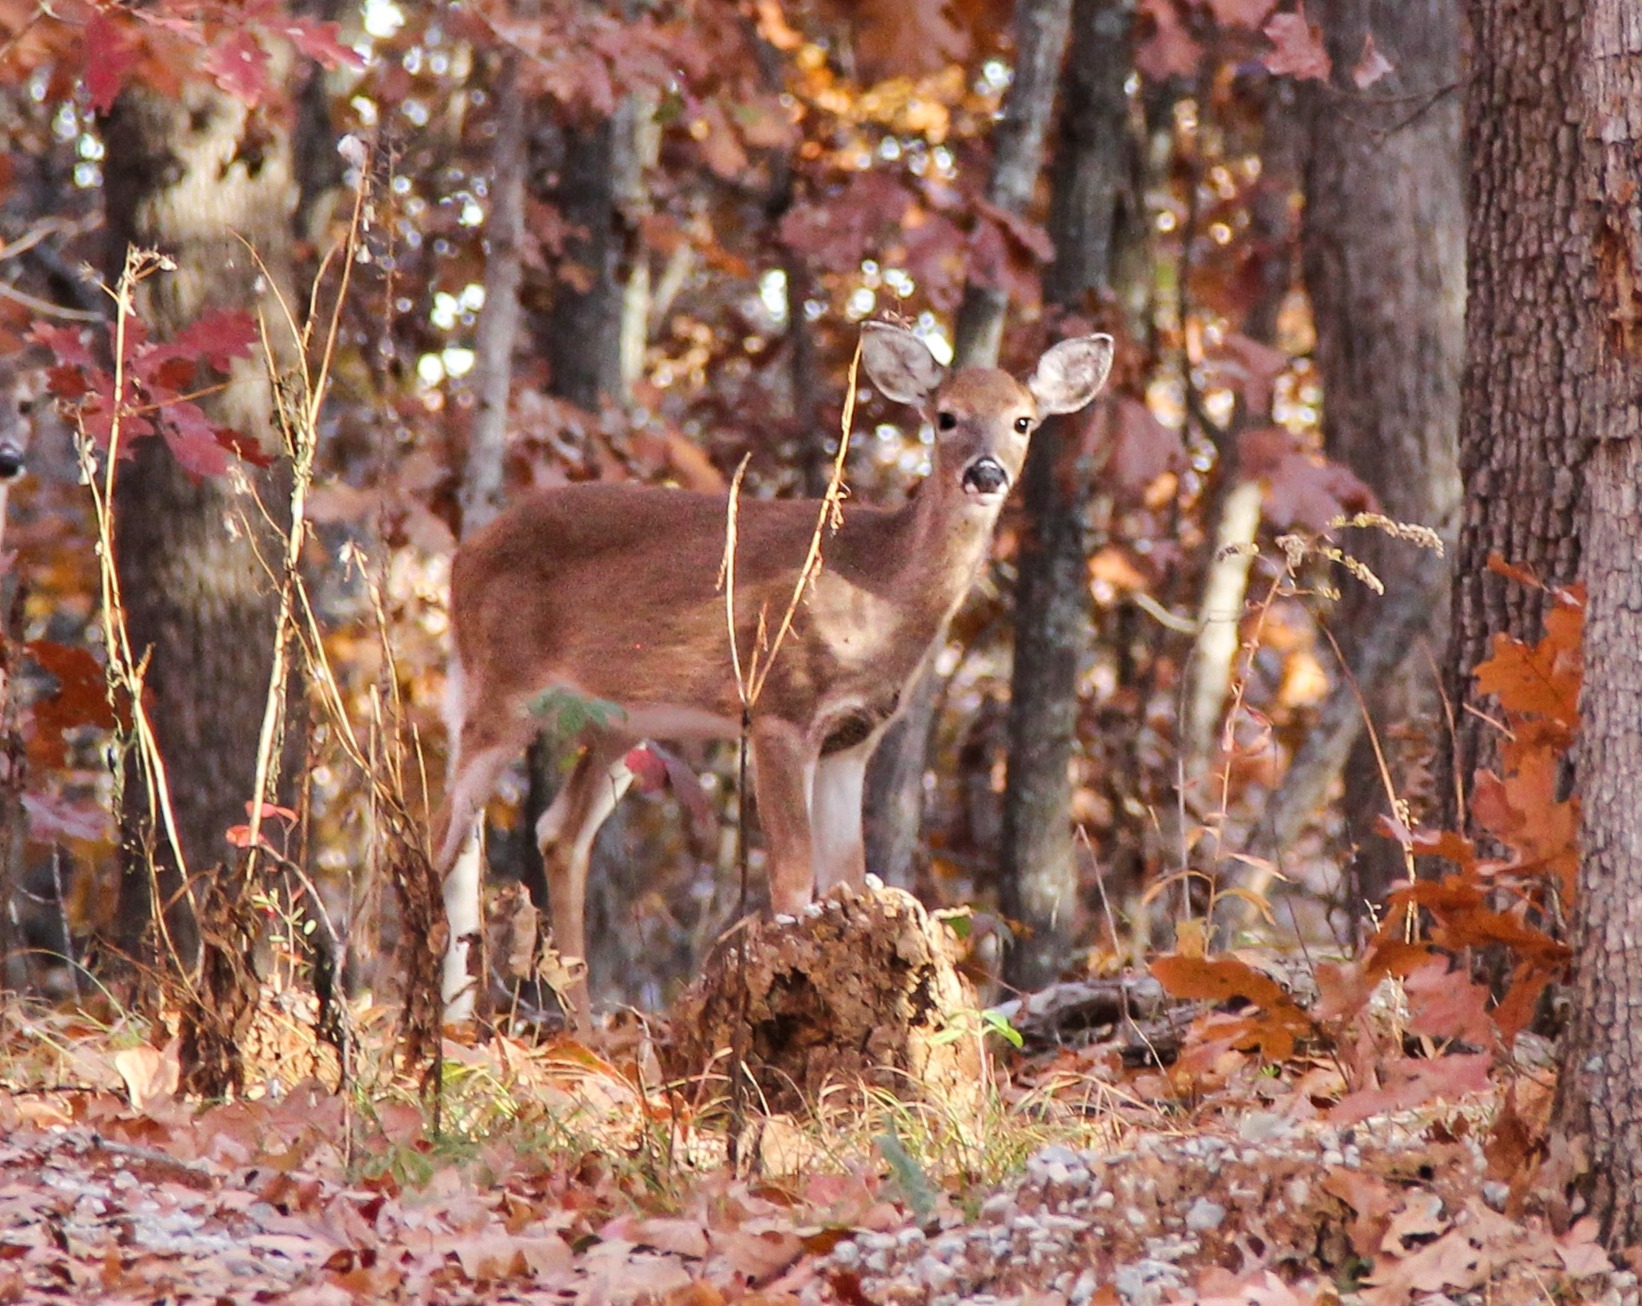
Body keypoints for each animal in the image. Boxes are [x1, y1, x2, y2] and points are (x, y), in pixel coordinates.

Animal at [431, 321, 1114, 1026]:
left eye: (1023, 420)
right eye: (946, 416)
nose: (986, 471)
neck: (878, 587)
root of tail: (461, 558)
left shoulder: (853, 740)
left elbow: (849, 874)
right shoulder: (781, 711)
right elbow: (793, 876)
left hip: (621, 719)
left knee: (557, 832)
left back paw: (580, 1028)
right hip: (501, 685)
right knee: (447, 840)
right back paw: (454, 1025)